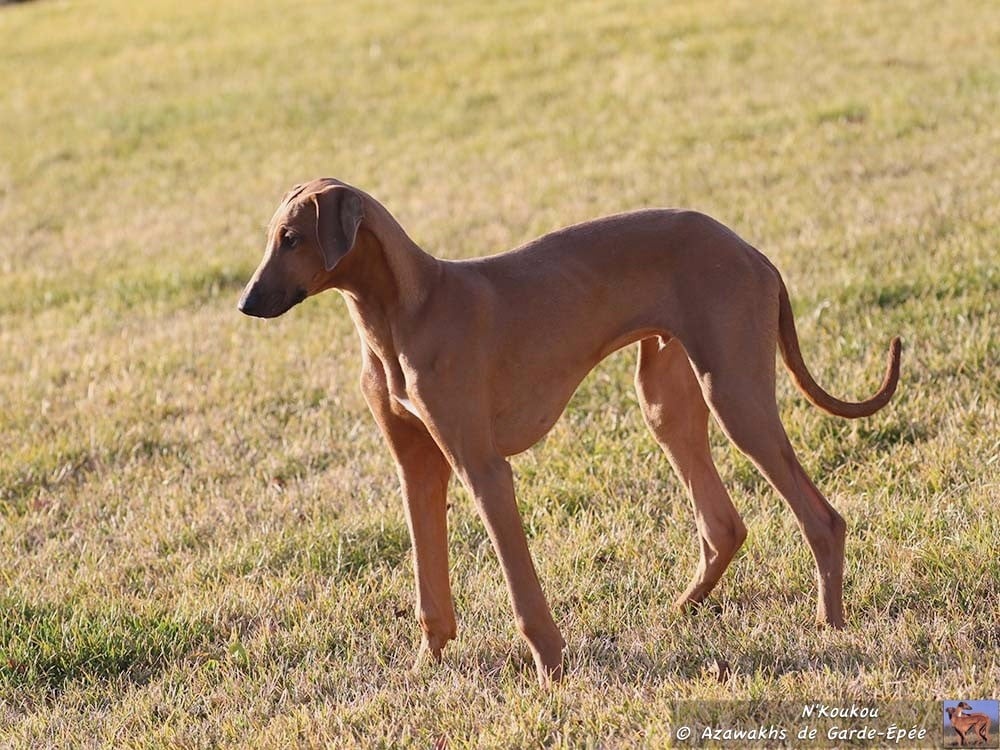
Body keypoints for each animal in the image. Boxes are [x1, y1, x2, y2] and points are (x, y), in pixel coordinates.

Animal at [238, 178, 904, 688]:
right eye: (273, 236)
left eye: (292, 238)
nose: (245, 303)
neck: (407, 310)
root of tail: (752, 250)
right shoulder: (418, 470)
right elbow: (430, 591)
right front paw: (428, 665)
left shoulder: (483, 468)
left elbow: (522, 592)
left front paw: (552, 671)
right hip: (667, 405)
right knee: (723, 525)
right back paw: (684, 608)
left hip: (736, 399)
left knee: (821, 518)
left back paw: (831, 628)